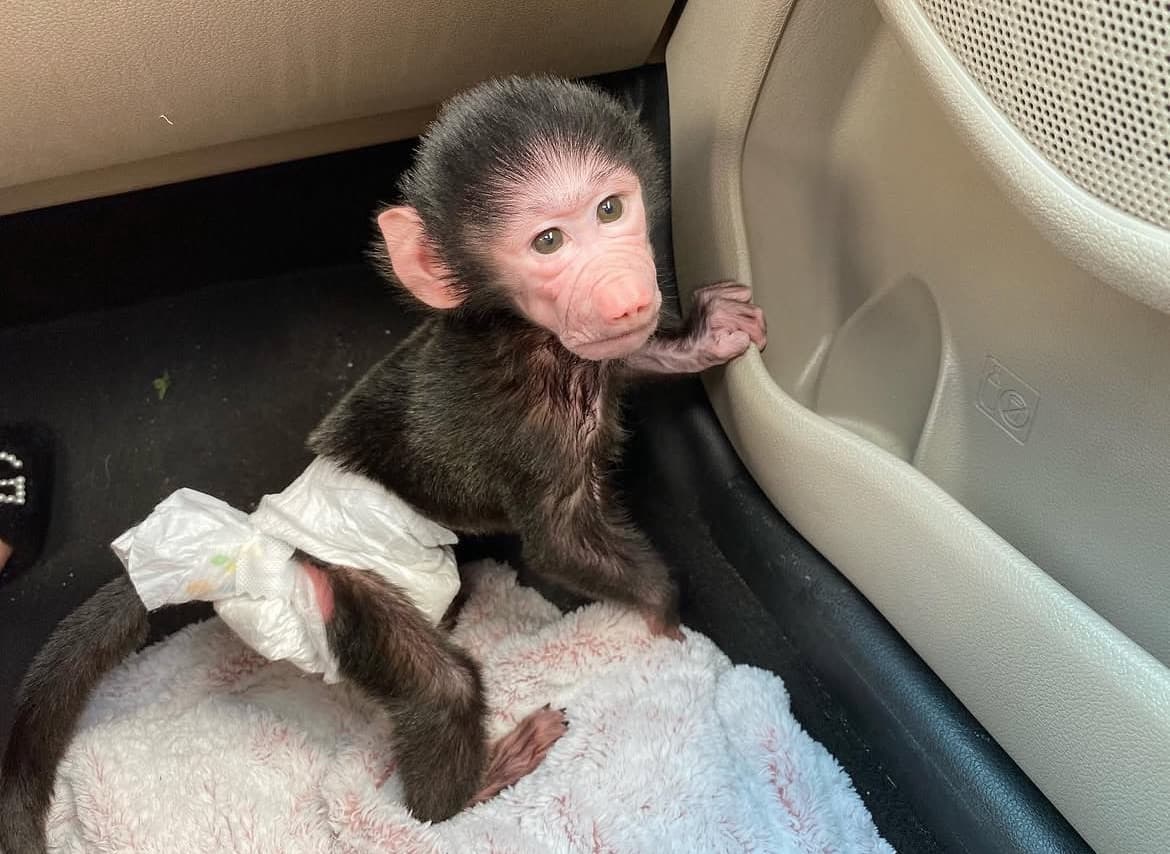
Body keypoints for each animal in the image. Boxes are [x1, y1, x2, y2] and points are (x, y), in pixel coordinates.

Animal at [0, 74, 766, 853]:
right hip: (346, 588)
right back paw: (470, 786)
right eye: (548, 241)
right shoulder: (532, 425)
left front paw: (703, 338)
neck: (529, 336)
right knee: (441, 690)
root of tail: (257, 544)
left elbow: (626, 359)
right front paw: (662, 611)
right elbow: (560, 548)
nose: (628, 294)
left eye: (611, 209)